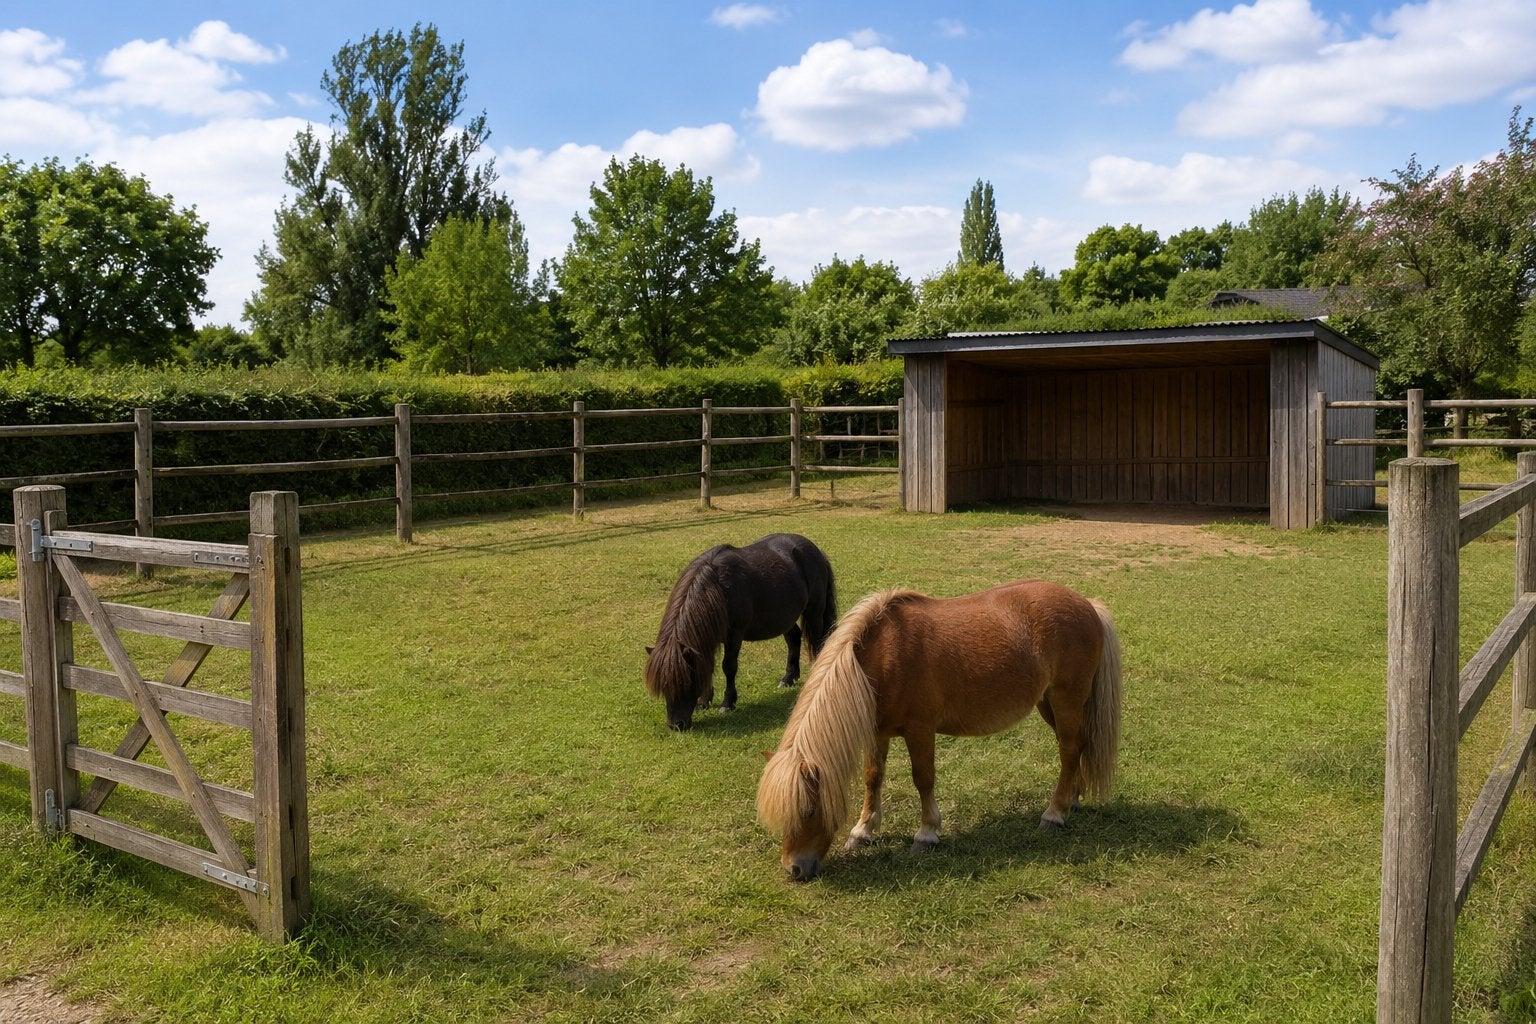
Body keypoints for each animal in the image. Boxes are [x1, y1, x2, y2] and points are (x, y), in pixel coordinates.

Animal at [644, 533, 837, 732]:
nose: (676, 725)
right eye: (664, 686)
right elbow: (708, 666)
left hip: (814, 612)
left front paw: (727, 703)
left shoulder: (733, 637)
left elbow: (729, 667)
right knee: (794, 639)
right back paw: (788, 678)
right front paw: (703, 702)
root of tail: (816, 550)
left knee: (818, 641)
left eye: (686, 683)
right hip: (785, 617)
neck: (718, 587)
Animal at [756, 579, 1122, 881]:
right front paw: (863, 831)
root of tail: (1087, 604)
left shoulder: (920, 731)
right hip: (1049, 704)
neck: (884, 659)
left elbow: (923, 779)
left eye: (809, 810)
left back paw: (1055, 813)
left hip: (1066, 699)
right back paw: (1072, 800)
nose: (794, 869)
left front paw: (927, 833)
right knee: (1076, 748)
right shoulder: (878, 732)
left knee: (1069, 750)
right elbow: (873, 777)